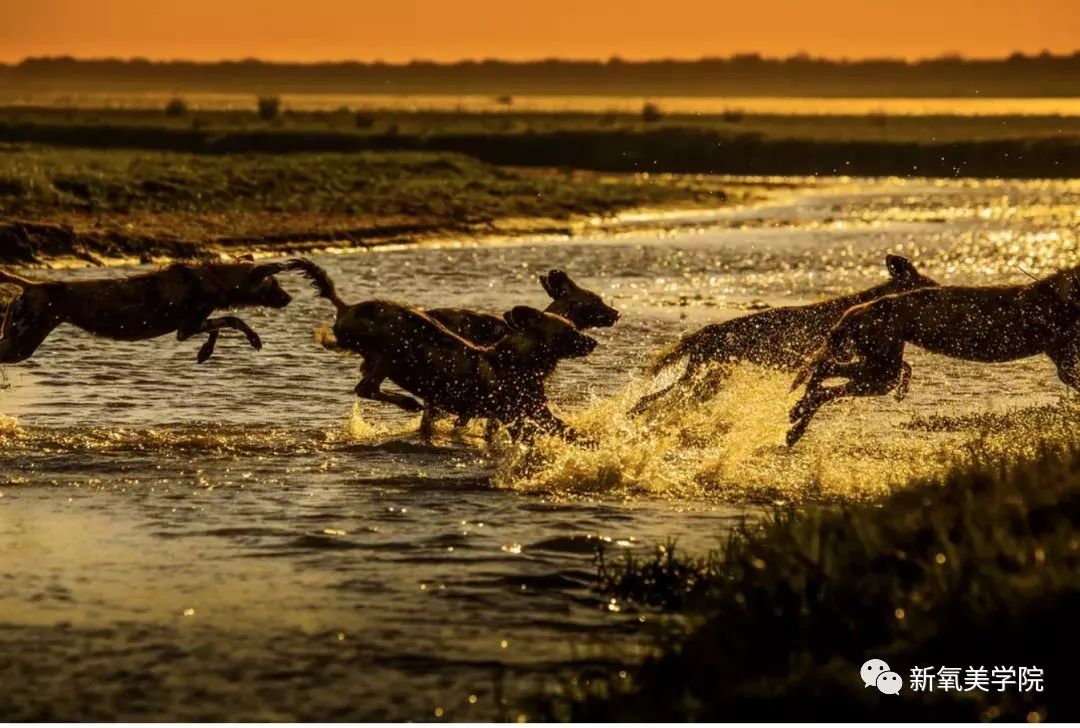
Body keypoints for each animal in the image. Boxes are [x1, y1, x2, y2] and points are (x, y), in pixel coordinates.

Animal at [0, 254, 300, 362]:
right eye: (274, 284)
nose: (288, 298)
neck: (212, 279)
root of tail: (31, 284)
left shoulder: (187, 329)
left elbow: (218, 328)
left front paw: (205, 353)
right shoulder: (191, 324)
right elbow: (234, 320)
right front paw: (254, 338)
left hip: (19, 342)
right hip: (20, 345)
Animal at [291, 258, 600, 436]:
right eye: (568, 332)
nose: (594, 342)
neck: (514, 361)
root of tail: (346, 307)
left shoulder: (527, 416)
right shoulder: (530, 416)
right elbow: (574, 433)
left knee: (366, 385)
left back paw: (407, 403)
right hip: (394, 349)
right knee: (366, 387)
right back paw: (407, 402)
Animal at [630, 254, 941, 414]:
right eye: (929, 285)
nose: (944, 293)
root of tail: (706, 331)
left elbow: (906, 366)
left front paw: (902, 391)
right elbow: (903, 366)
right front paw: (901, 391)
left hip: (709, 380)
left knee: (658, 398)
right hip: (700, 378)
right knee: (653, 398)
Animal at [790, 261, 1080, 442]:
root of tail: (860, 308)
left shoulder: (1065, 364)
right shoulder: (1067, 366)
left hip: (880, 369)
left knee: (823, 374)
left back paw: (796, 419)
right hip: (884, 373)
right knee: (824, 378)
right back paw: (797, 422)